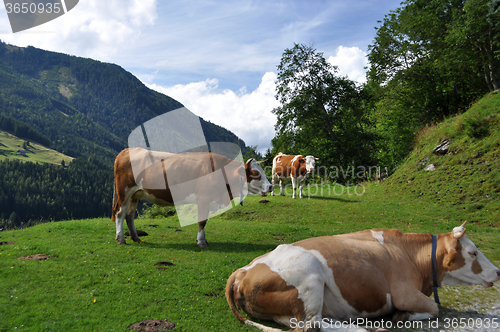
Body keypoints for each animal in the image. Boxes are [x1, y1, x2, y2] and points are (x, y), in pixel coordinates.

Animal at [112, 148, 274, 246]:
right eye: (255, 173)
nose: (271, 186)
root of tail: (127, 150)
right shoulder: (203, 197)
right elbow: (202, 220)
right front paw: (201, 241)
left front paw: (204, 240)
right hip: (125, 191)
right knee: (120, 213)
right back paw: (121, 239)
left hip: (136, 194)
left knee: (129, 215)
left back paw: (136, 237)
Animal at [227, 220, 500, 332]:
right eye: (473, 252)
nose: (498, 271)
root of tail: (242, 270)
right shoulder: (403, 294)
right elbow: (435, 308)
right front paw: (402, 316)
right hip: (311, 279)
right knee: (310, 326)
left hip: (285, 310)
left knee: (308, 324)